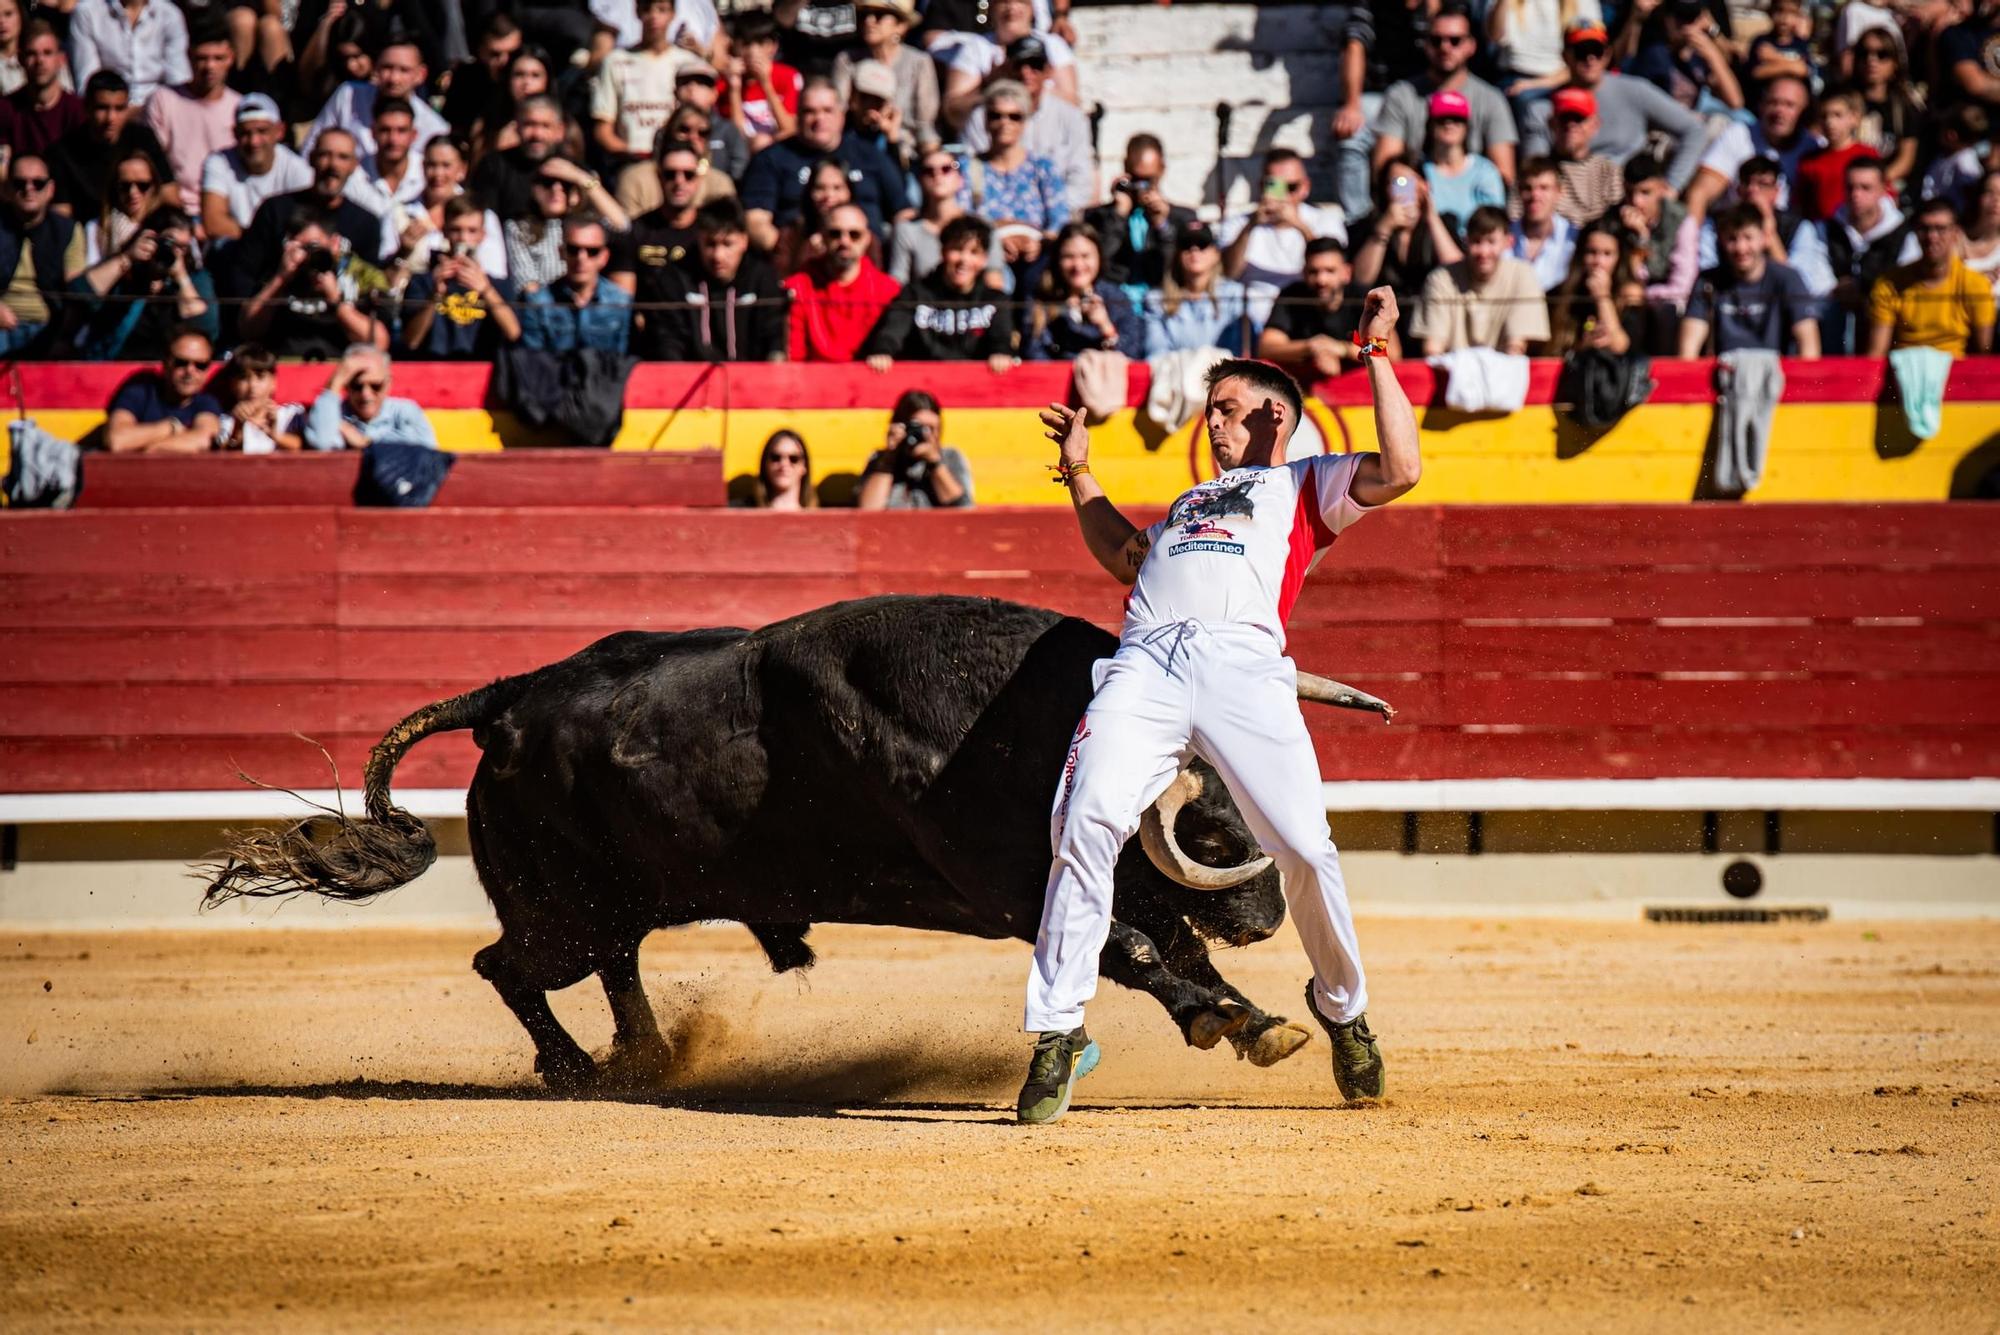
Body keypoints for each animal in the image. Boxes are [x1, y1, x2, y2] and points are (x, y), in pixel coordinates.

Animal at [207, 595, 1392, 1095]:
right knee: (507, 965)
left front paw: (1255, 1023)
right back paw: (575, 1069)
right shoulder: (1018, 885)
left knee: (610, 964)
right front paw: (1232, 1020)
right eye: (1206, 820)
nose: (1265, 915)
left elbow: (1160, 943)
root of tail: (508, 695)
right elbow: (1139, 948)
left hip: (613, 900)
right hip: (557, 907)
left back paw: (644, 1061)